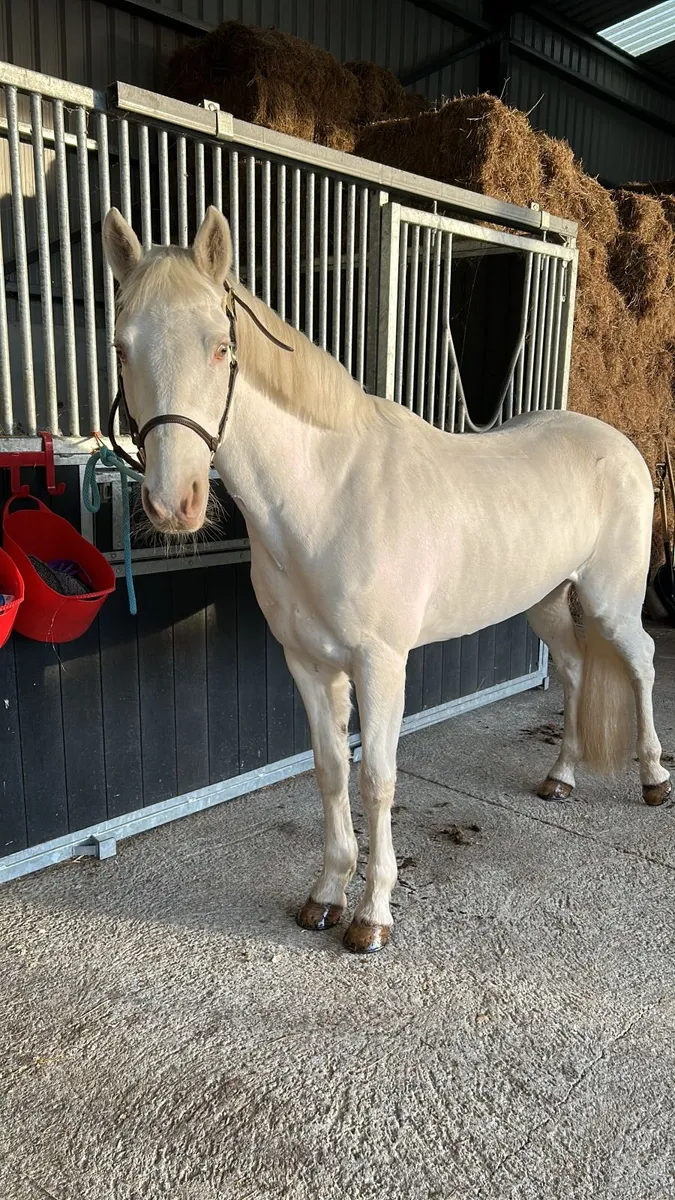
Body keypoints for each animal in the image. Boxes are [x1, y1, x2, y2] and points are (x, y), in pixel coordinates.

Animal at [102, 205, 671, 954]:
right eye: (120, 347)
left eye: (221, 347)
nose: (175, 503)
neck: (328, 495)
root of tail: (618, 444)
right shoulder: (309, 663)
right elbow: (329, 769)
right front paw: (325, 896)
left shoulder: (380, 664)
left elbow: (376, 778)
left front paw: (371, 916)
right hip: (546, 601)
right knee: (577, 669)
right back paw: (561, 777)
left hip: (610, 599)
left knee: (640, 661)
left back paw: (654, 779)